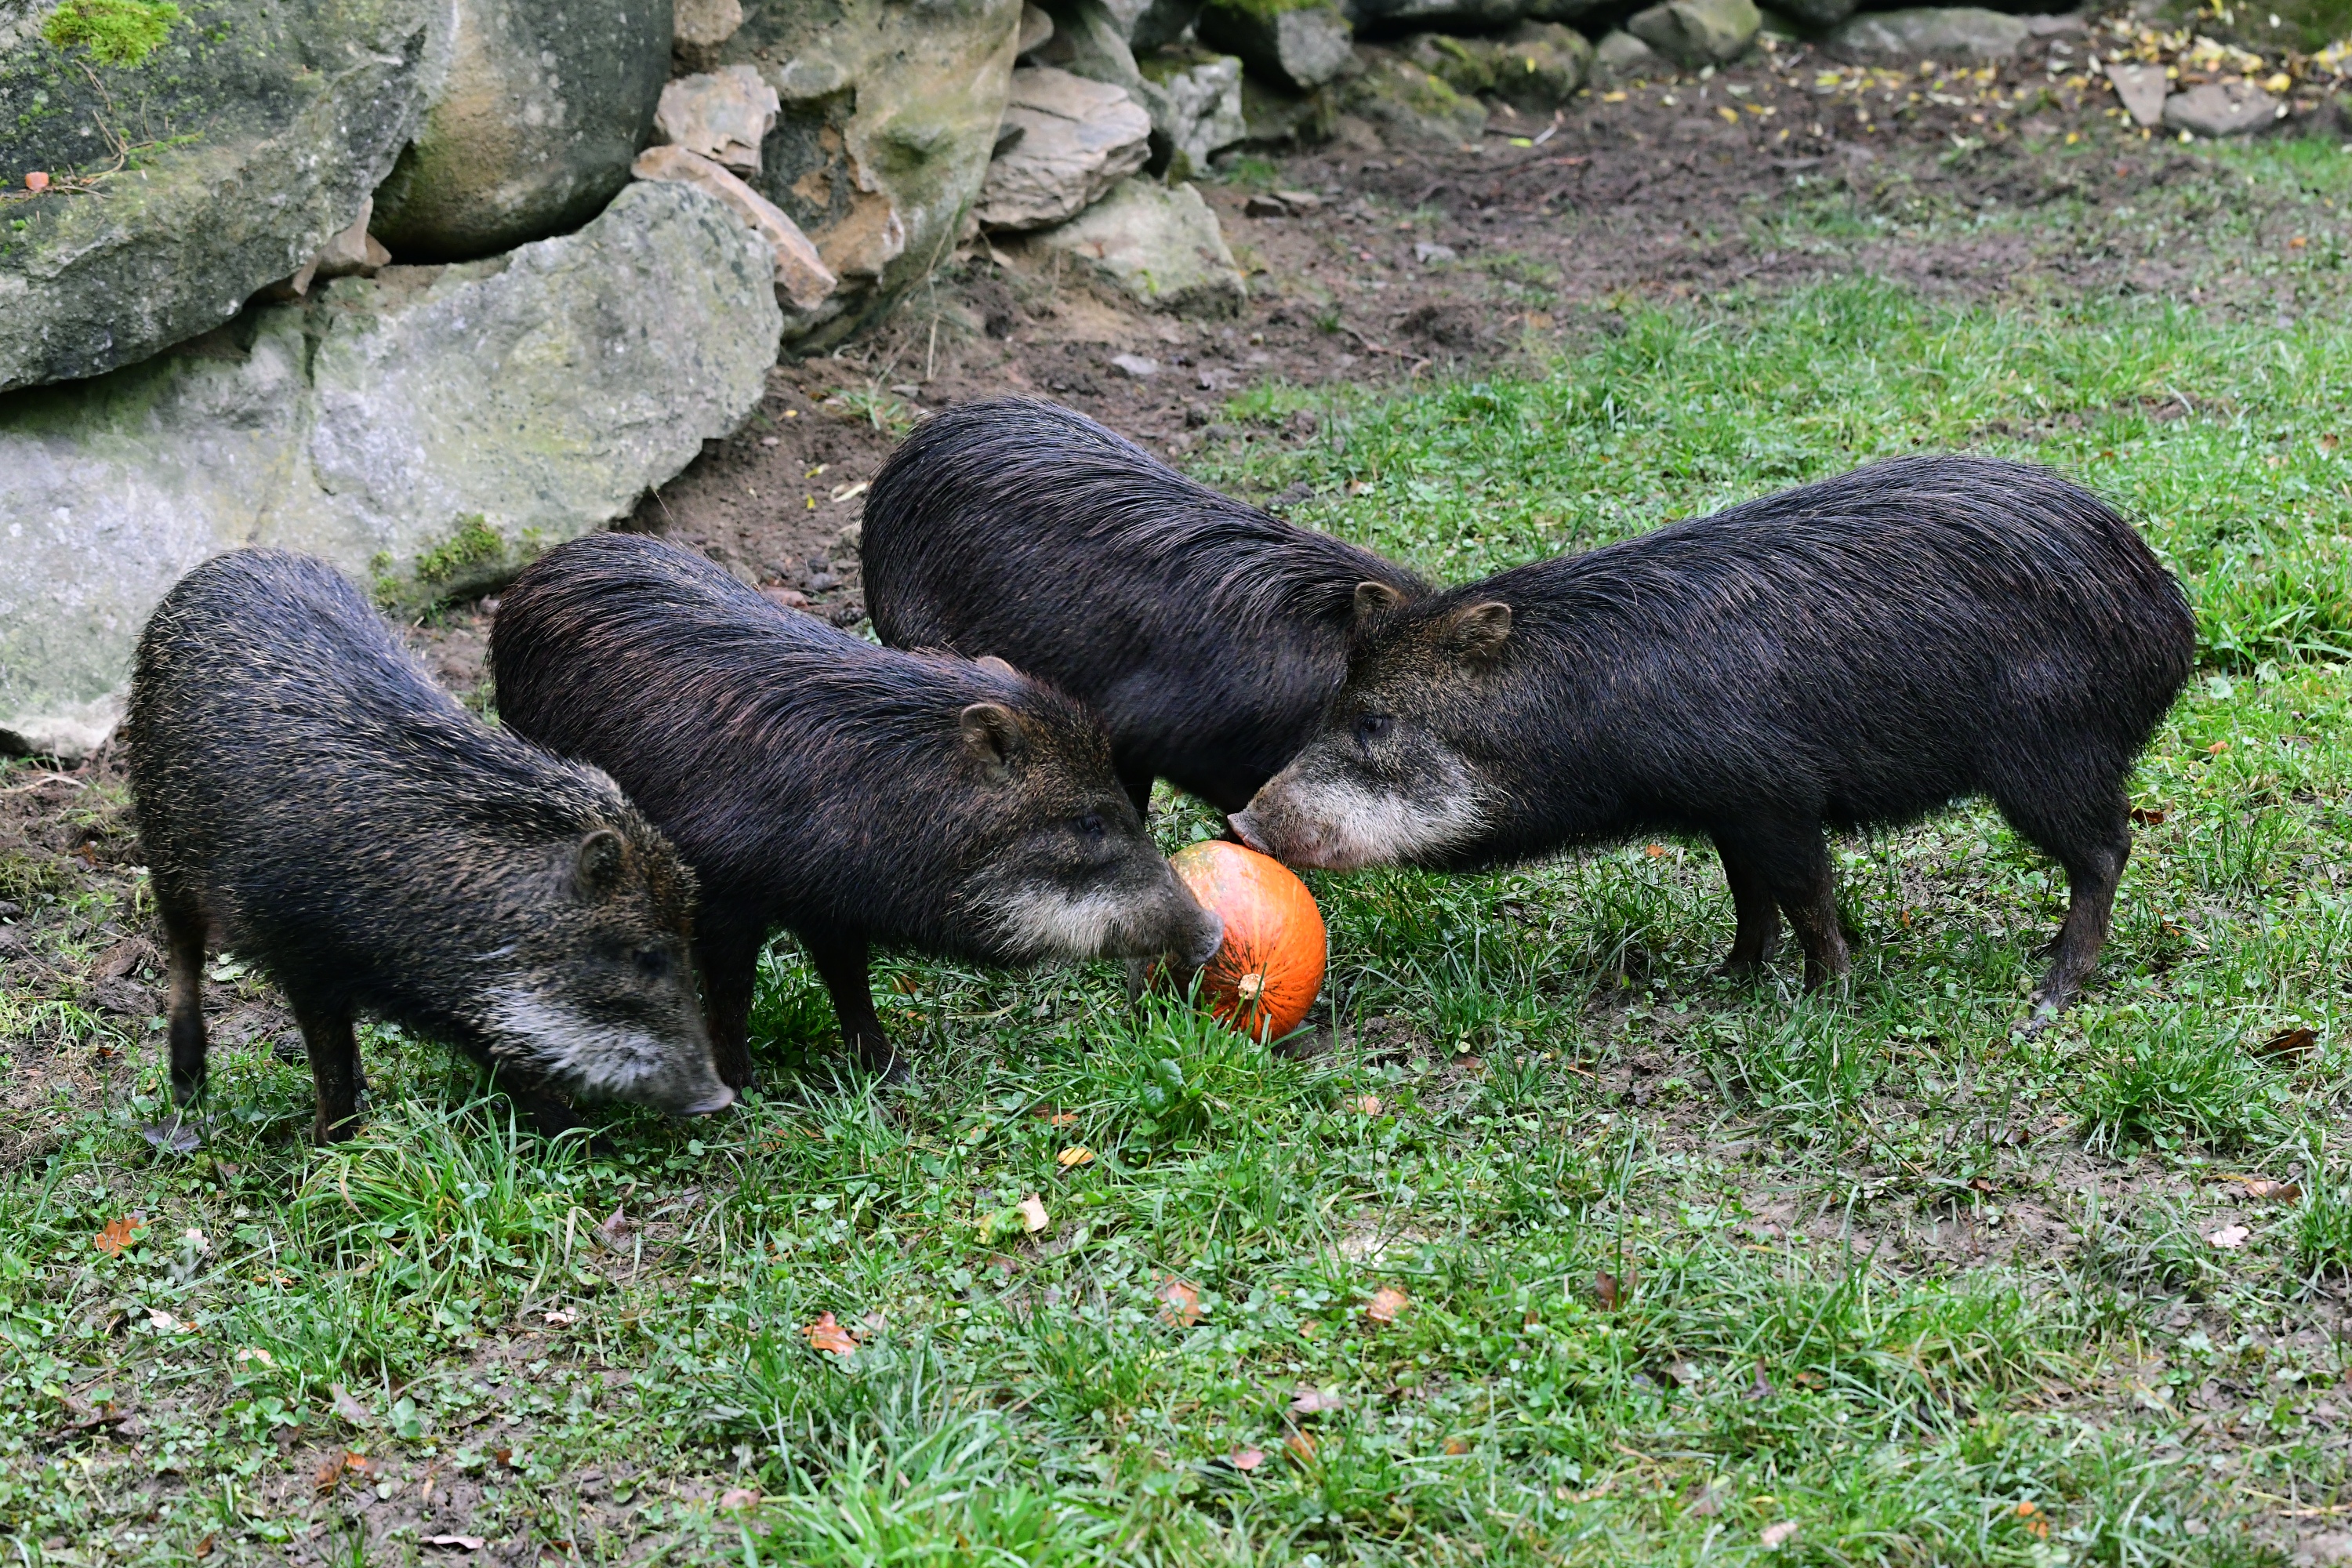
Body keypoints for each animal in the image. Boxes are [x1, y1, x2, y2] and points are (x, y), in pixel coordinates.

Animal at [123, 548, 733, 1144]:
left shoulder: (466, 1000)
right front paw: (333, 1147)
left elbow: (511, 1070)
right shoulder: (302, 956)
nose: (720, 1098)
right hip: (163, 840)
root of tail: (219, 565)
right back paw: (188, 1088)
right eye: (645, 955)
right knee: (183, 948)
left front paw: (586, 1143)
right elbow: (329, 1062)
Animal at [488, 531, 1224, 1087]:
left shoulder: (831, 905)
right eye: (1090, 822)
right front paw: (741, 1090)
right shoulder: (726, 899)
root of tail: (530, 579)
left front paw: (894, 1074)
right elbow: (730, 991)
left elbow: (850, 981)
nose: (1214, 931)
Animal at [1232, 456, 2197, 1022]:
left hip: (2051, 754)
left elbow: (1806, 895)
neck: (1578, 710)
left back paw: (2053, 989)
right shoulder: (1726, 810)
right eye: (1334, 706)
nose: (1241, 822)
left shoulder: (1774, 794)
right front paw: (1728, 979)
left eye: (1375, 721)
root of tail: (2168, 611)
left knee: (2107, 850)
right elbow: (1749, 897)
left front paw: (1827, 1000)